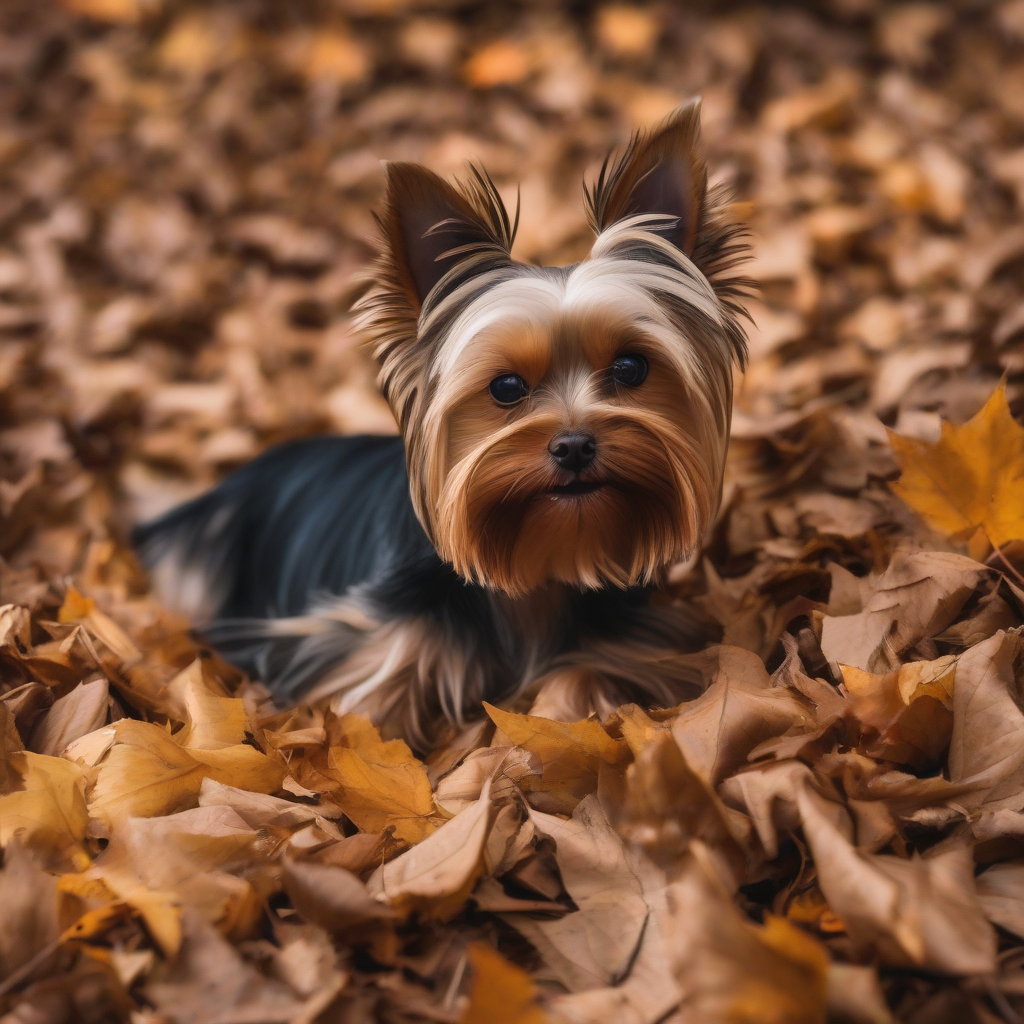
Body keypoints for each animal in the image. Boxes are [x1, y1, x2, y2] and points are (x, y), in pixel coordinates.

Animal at [132, 99, 749, 749]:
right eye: (506, 387)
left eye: (631, 368)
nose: (575, 445)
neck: (540, 567)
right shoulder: (358, 640)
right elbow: (367, 718)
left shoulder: (634, 645)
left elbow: (582, 680)